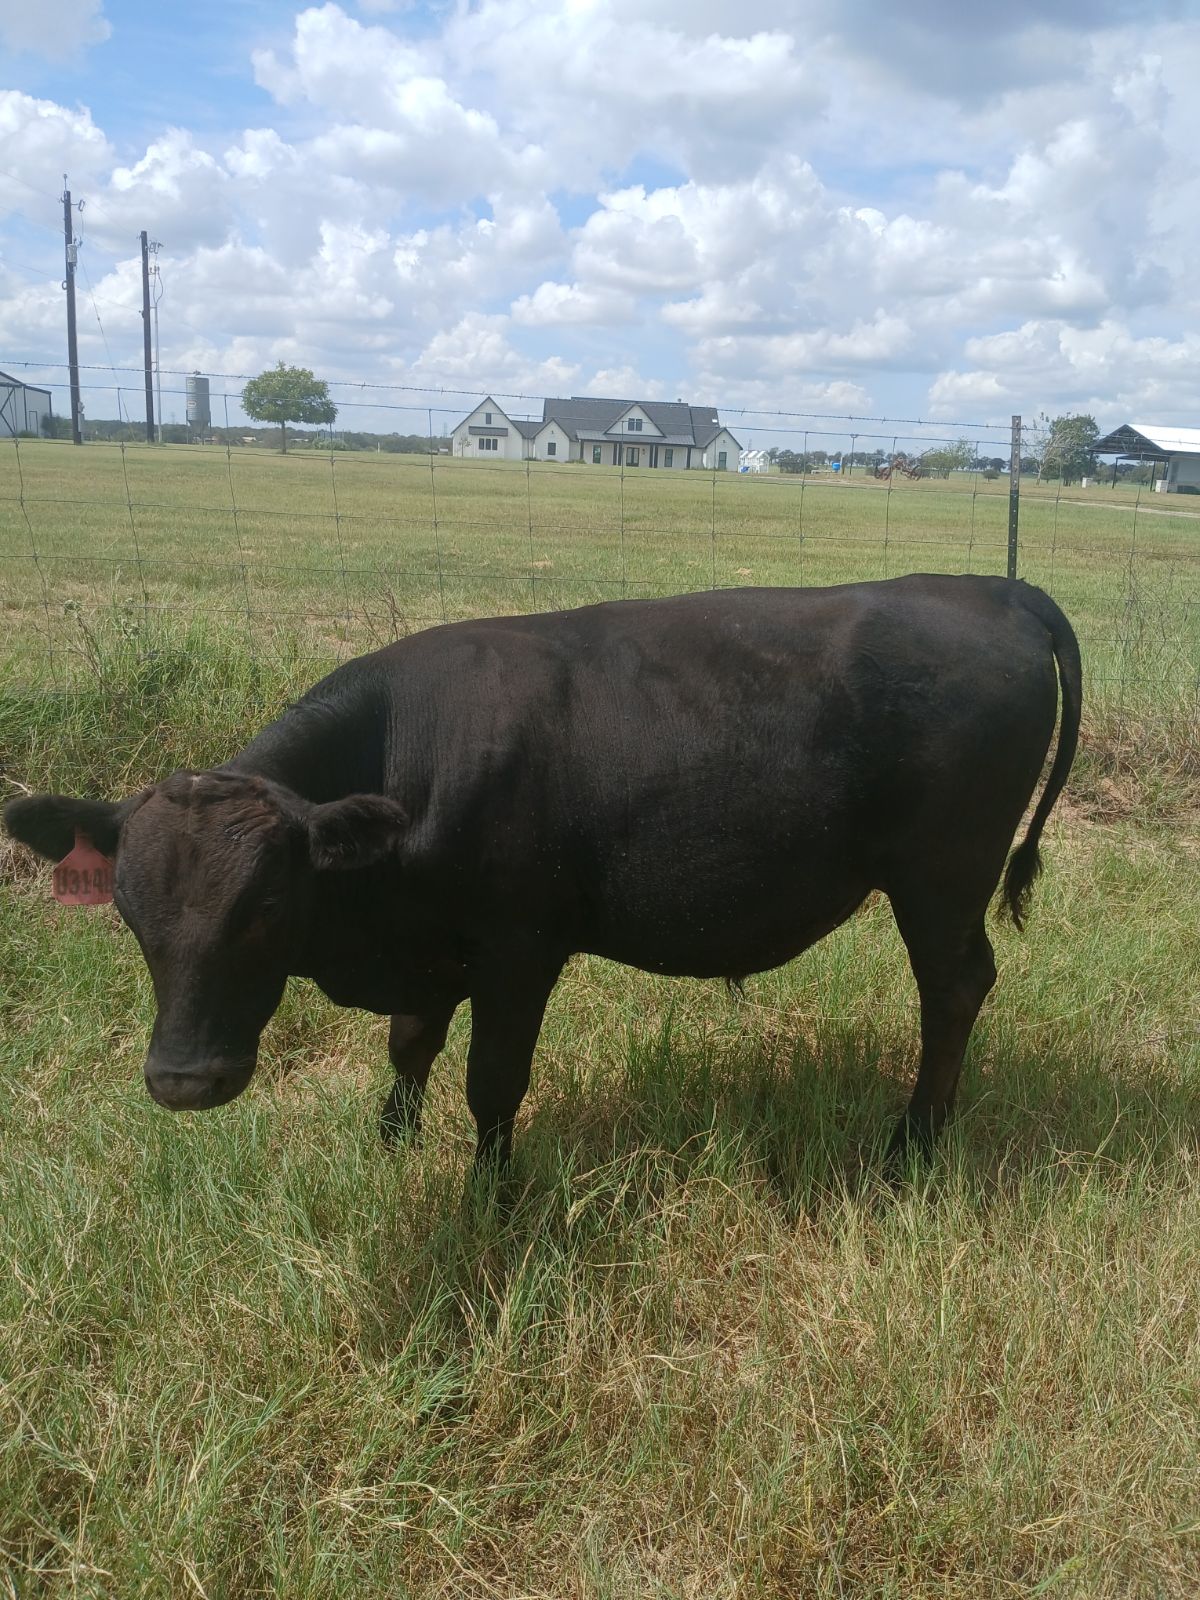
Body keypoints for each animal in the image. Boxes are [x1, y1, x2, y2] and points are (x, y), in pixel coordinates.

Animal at [7, 576, 1081, 1164]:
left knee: (955, 989)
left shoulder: (519, 948)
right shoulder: (428, 948)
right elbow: (409, 1048)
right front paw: (391, 1148)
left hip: (941, 877)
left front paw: (491, 1195)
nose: (184, 1081)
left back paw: (913, 1146)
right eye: (132, 917)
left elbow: (492, 1083)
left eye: (266, 908)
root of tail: (988, 587)